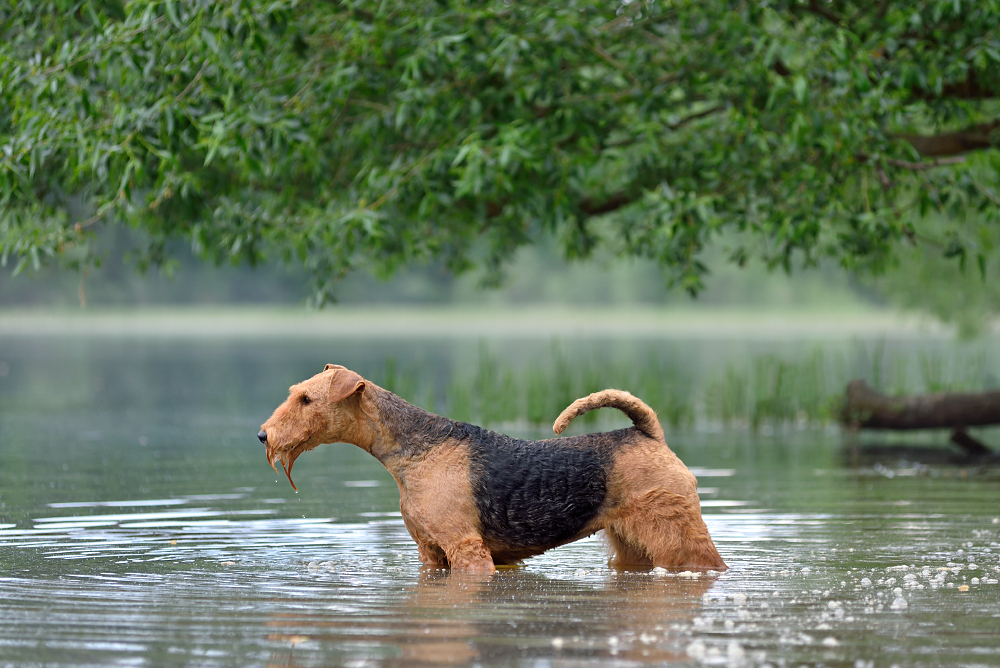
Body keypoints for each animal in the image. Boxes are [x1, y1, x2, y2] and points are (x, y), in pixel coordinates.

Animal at [258, 366, 728, 576]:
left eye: (306, 399)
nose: (264, 436)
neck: (413, 452)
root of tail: (647, 433)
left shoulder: (464, 547)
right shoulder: (429, 551)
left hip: (676, 533)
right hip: (629, 545)